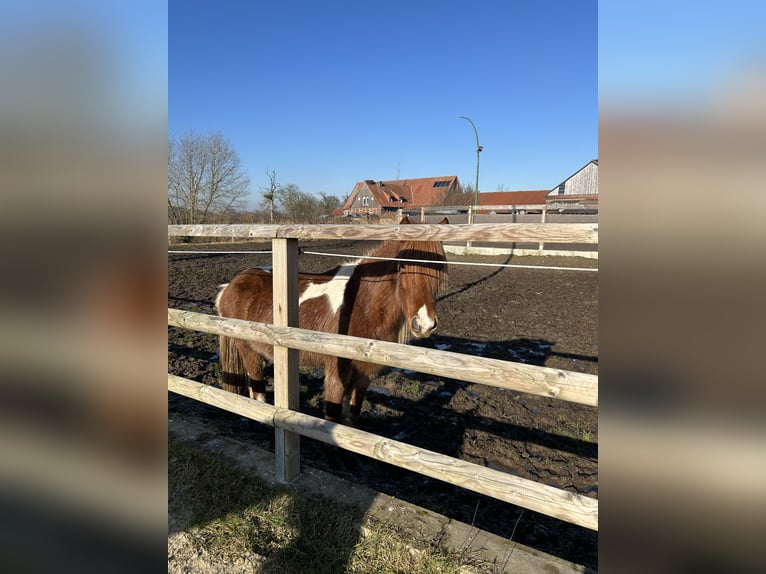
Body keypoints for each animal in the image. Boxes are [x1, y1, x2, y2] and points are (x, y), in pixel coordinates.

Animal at [214, 216, 448, 425]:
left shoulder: (363, 377)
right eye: (402, 267)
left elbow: (352, 419)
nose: (424, 324)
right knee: (258, 391)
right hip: (248, 350)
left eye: (439, 268)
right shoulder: (336, 375)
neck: (361, 304)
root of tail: (230, 286)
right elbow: (332, 419)